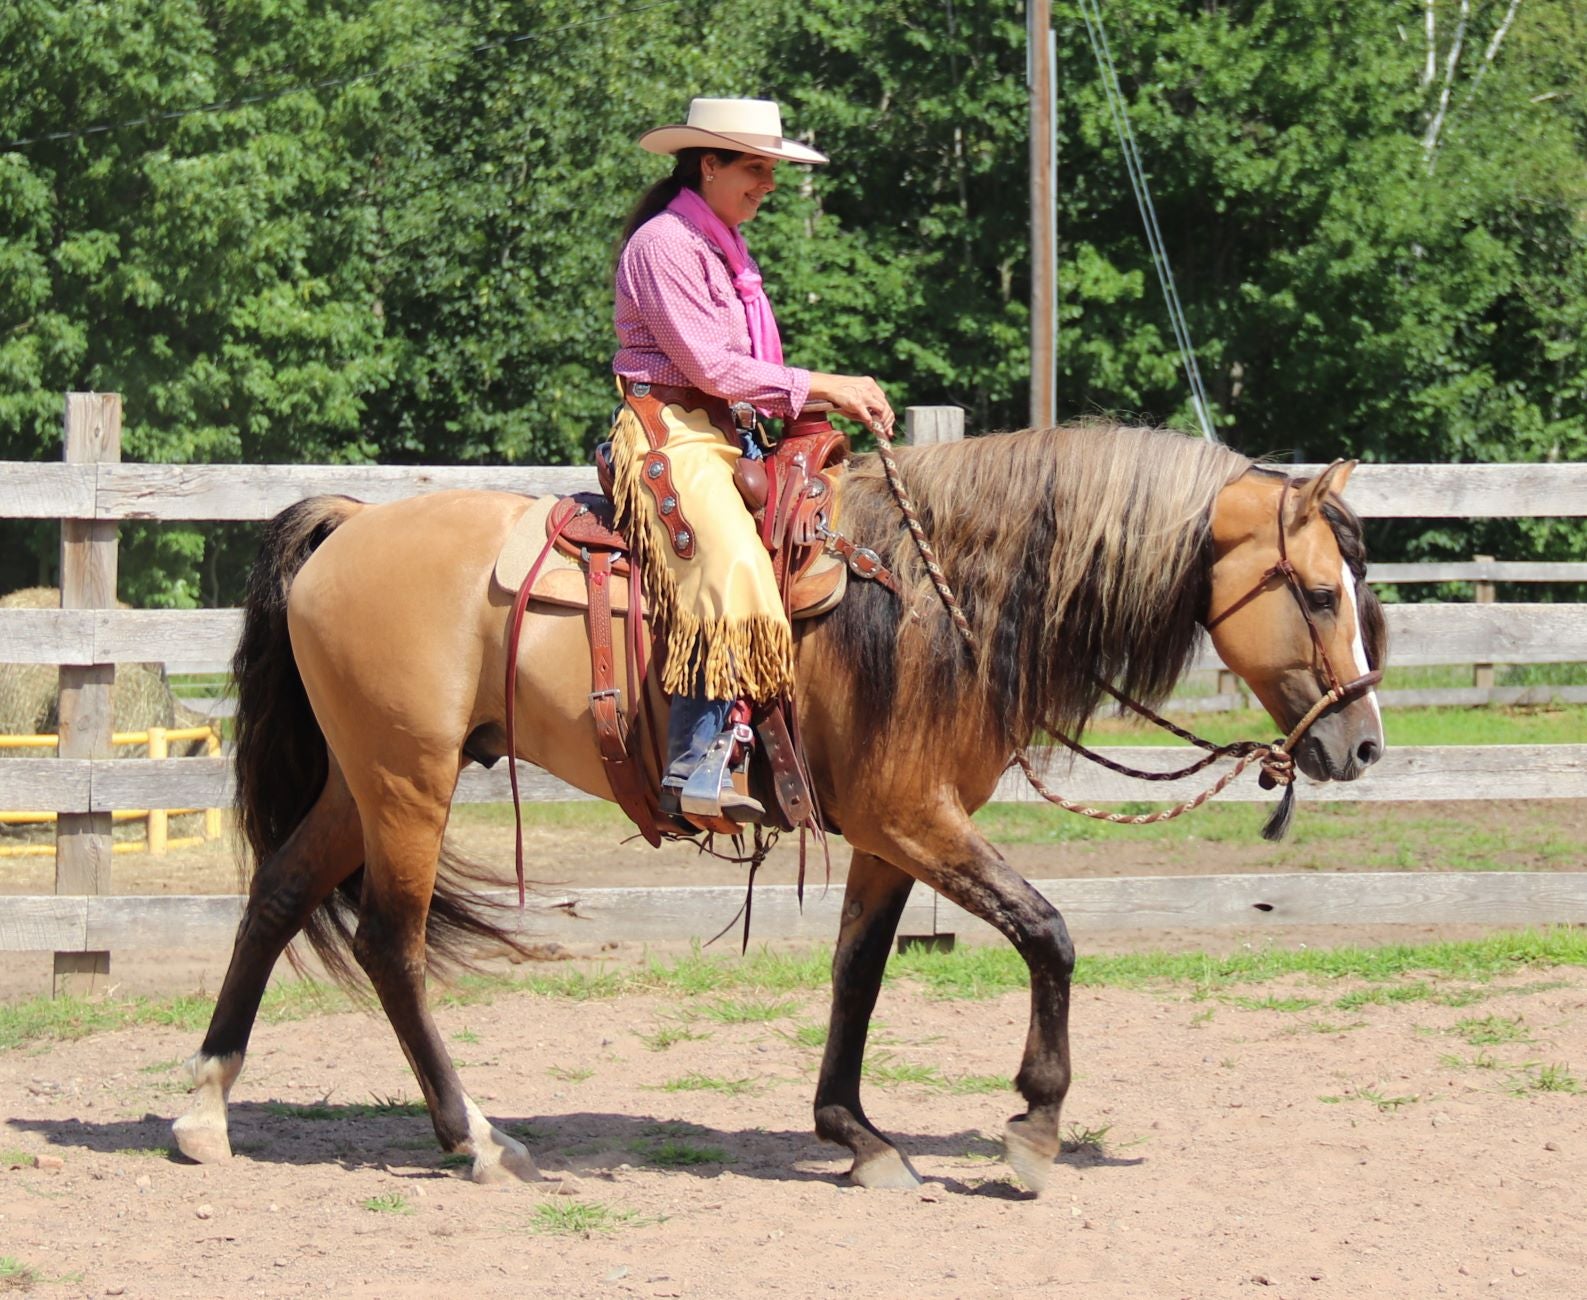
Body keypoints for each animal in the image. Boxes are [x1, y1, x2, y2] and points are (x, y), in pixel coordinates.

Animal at [173, 422, 1383, 1193]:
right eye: (1321, 593)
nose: (1362, 743)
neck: (940, 599)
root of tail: (348, 525)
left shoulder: (893, 833)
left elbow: (859, 972)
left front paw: (857, 1135)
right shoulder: (916, 817)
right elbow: (1047, 931)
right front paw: (1033, 1130)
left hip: (362, 779)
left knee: (278, 895)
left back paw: (204, 1110)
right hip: (407, 782)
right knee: (392, 941)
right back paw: (475, 1138)